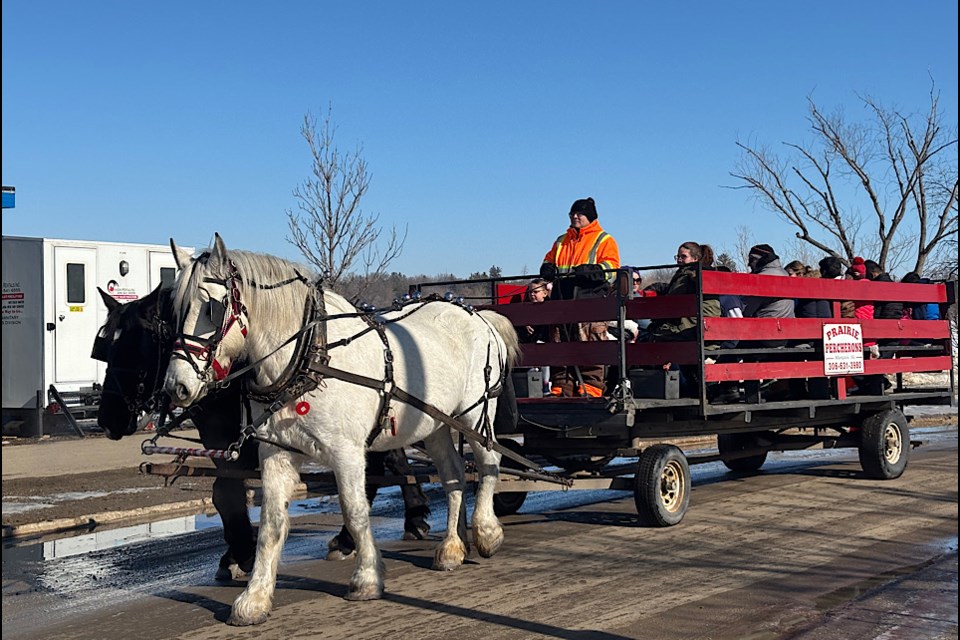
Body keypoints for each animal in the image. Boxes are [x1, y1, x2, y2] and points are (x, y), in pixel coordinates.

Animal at [94, 284, 432, 580]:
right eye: (104, 348)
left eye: (133, 345)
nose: (107, 421)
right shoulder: (228, 447)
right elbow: (224, 492)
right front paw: (234, 554)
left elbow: (225, 493)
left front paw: (241, 554)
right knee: (388, 462)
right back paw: (406, 518)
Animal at [163, 235, 516, 624]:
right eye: (174, 311)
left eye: (212, 306)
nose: (176, 387)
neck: (310, 356)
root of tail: (478, 314)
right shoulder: (276, 453)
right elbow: (271, 523)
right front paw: (254, 598)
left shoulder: (346, 452)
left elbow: (355, 511)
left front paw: (367, 579)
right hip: (436, 422)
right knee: (453, 473)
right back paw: (452, 547)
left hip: (475, 413)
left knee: (488, 463)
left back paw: (486, 532)